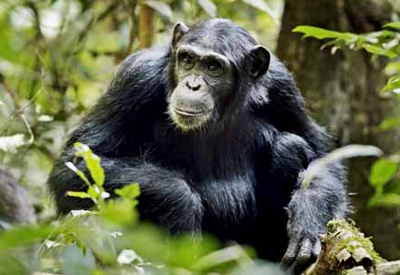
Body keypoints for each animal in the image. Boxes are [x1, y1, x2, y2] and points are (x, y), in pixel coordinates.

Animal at [47, 18, 346, 274]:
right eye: (187, 60)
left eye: (213, 67)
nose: (192, 85)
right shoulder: (135, 79)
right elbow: (76, 166)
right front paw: (180, 202)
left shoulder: (283, 87)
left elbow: (322, 155)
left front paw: (308, 223)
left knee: (289, 146)